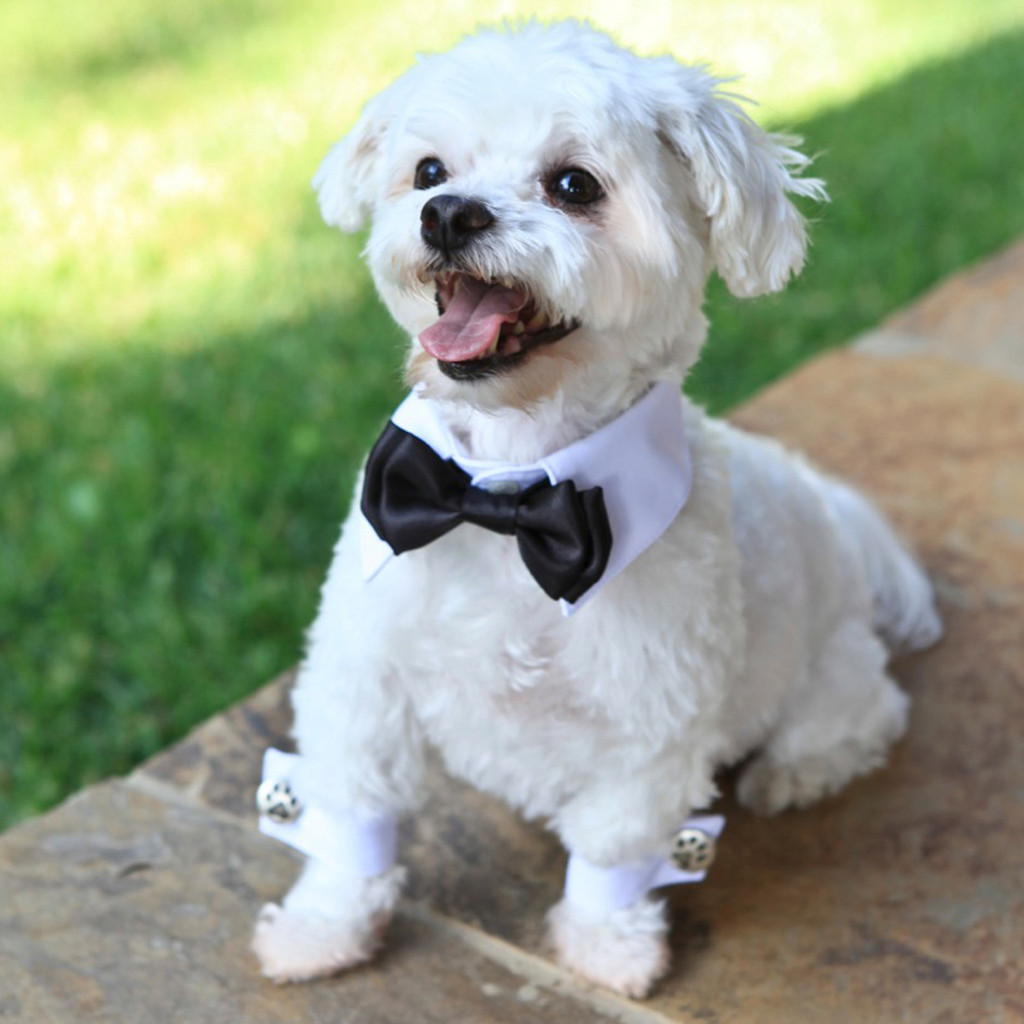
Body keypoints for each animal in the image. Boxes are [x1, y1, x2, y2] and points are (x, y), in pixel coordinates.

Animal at [251, 22, 937, 999]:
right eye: (428, 170)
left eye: (575, 185)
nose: (449, 214)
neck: (504, 490)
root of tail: (832, 507)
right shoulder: (360, 676)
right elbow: (350, 805)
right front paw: (322, 928)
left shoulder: (651, 722)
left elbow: (616, 845)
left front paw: (608, 948)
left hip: (831, 667)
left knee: (864, 713)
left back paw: (796, 770)